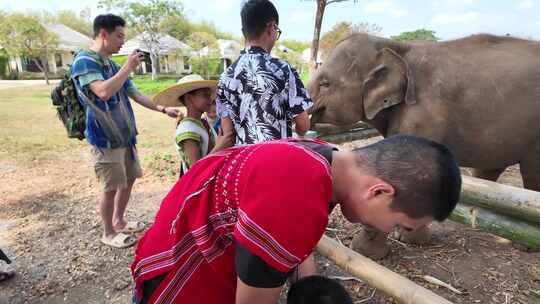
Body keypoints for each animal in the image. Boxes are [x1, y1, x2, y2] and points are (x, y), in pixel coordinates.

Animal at [306, 32, 540, 256]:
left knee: (531, 176)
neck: (393, 46)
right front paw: (407, 238)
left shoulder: (422, 113)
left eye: (325, 83)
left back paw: (523, 246)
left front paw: (365, 252)